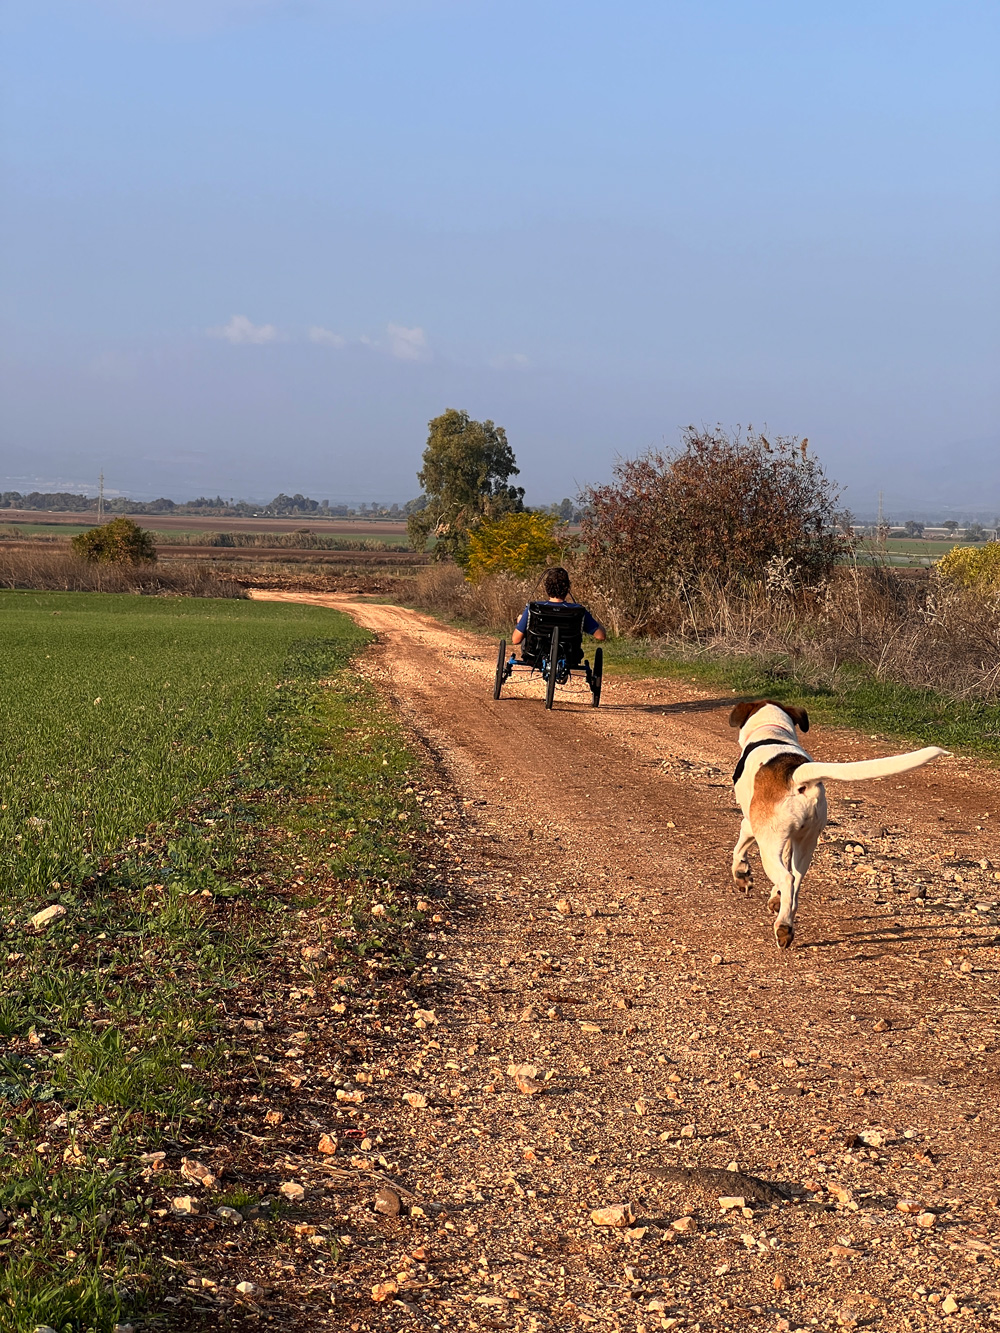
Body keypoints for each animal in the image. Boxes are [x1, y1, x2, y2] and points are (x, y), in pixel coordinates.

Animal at [730, 698, 949, 949]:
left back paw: (783, 927)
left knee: (787, 878)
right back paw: (786, 918)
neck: (772, 730)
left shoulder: (751, 825)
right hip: (806, 843)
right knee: (795, 881)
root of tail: (795, 776)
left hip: (769, 844)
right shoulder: (790, 840)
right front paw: (773, 896)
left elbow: (740, 850)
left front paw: (742, 876)